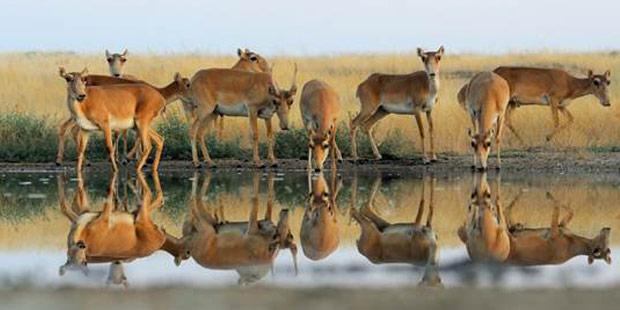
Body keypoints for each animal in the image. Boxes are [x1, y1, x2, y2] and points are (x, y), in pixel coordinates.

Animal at [60, 67, 191, 172]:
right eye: (68, 79)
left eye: (83, 80)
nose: (81, 95)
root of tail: (160, 99)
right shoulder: (93, 127)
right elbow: (86, 148)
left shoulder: (108, 125)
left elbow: (113, 144)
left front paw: (122, 161)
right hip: (140, 123)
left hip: (140, 123)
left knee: (155, 141)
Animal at [167, 171, 298, 284]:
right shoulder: (207, 225)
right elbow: (195, 199)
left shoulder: (206, 225)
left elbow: (195, 199)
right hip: (255, 226)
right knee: (262, 200)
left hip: (256, 226)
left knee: (261, 198)